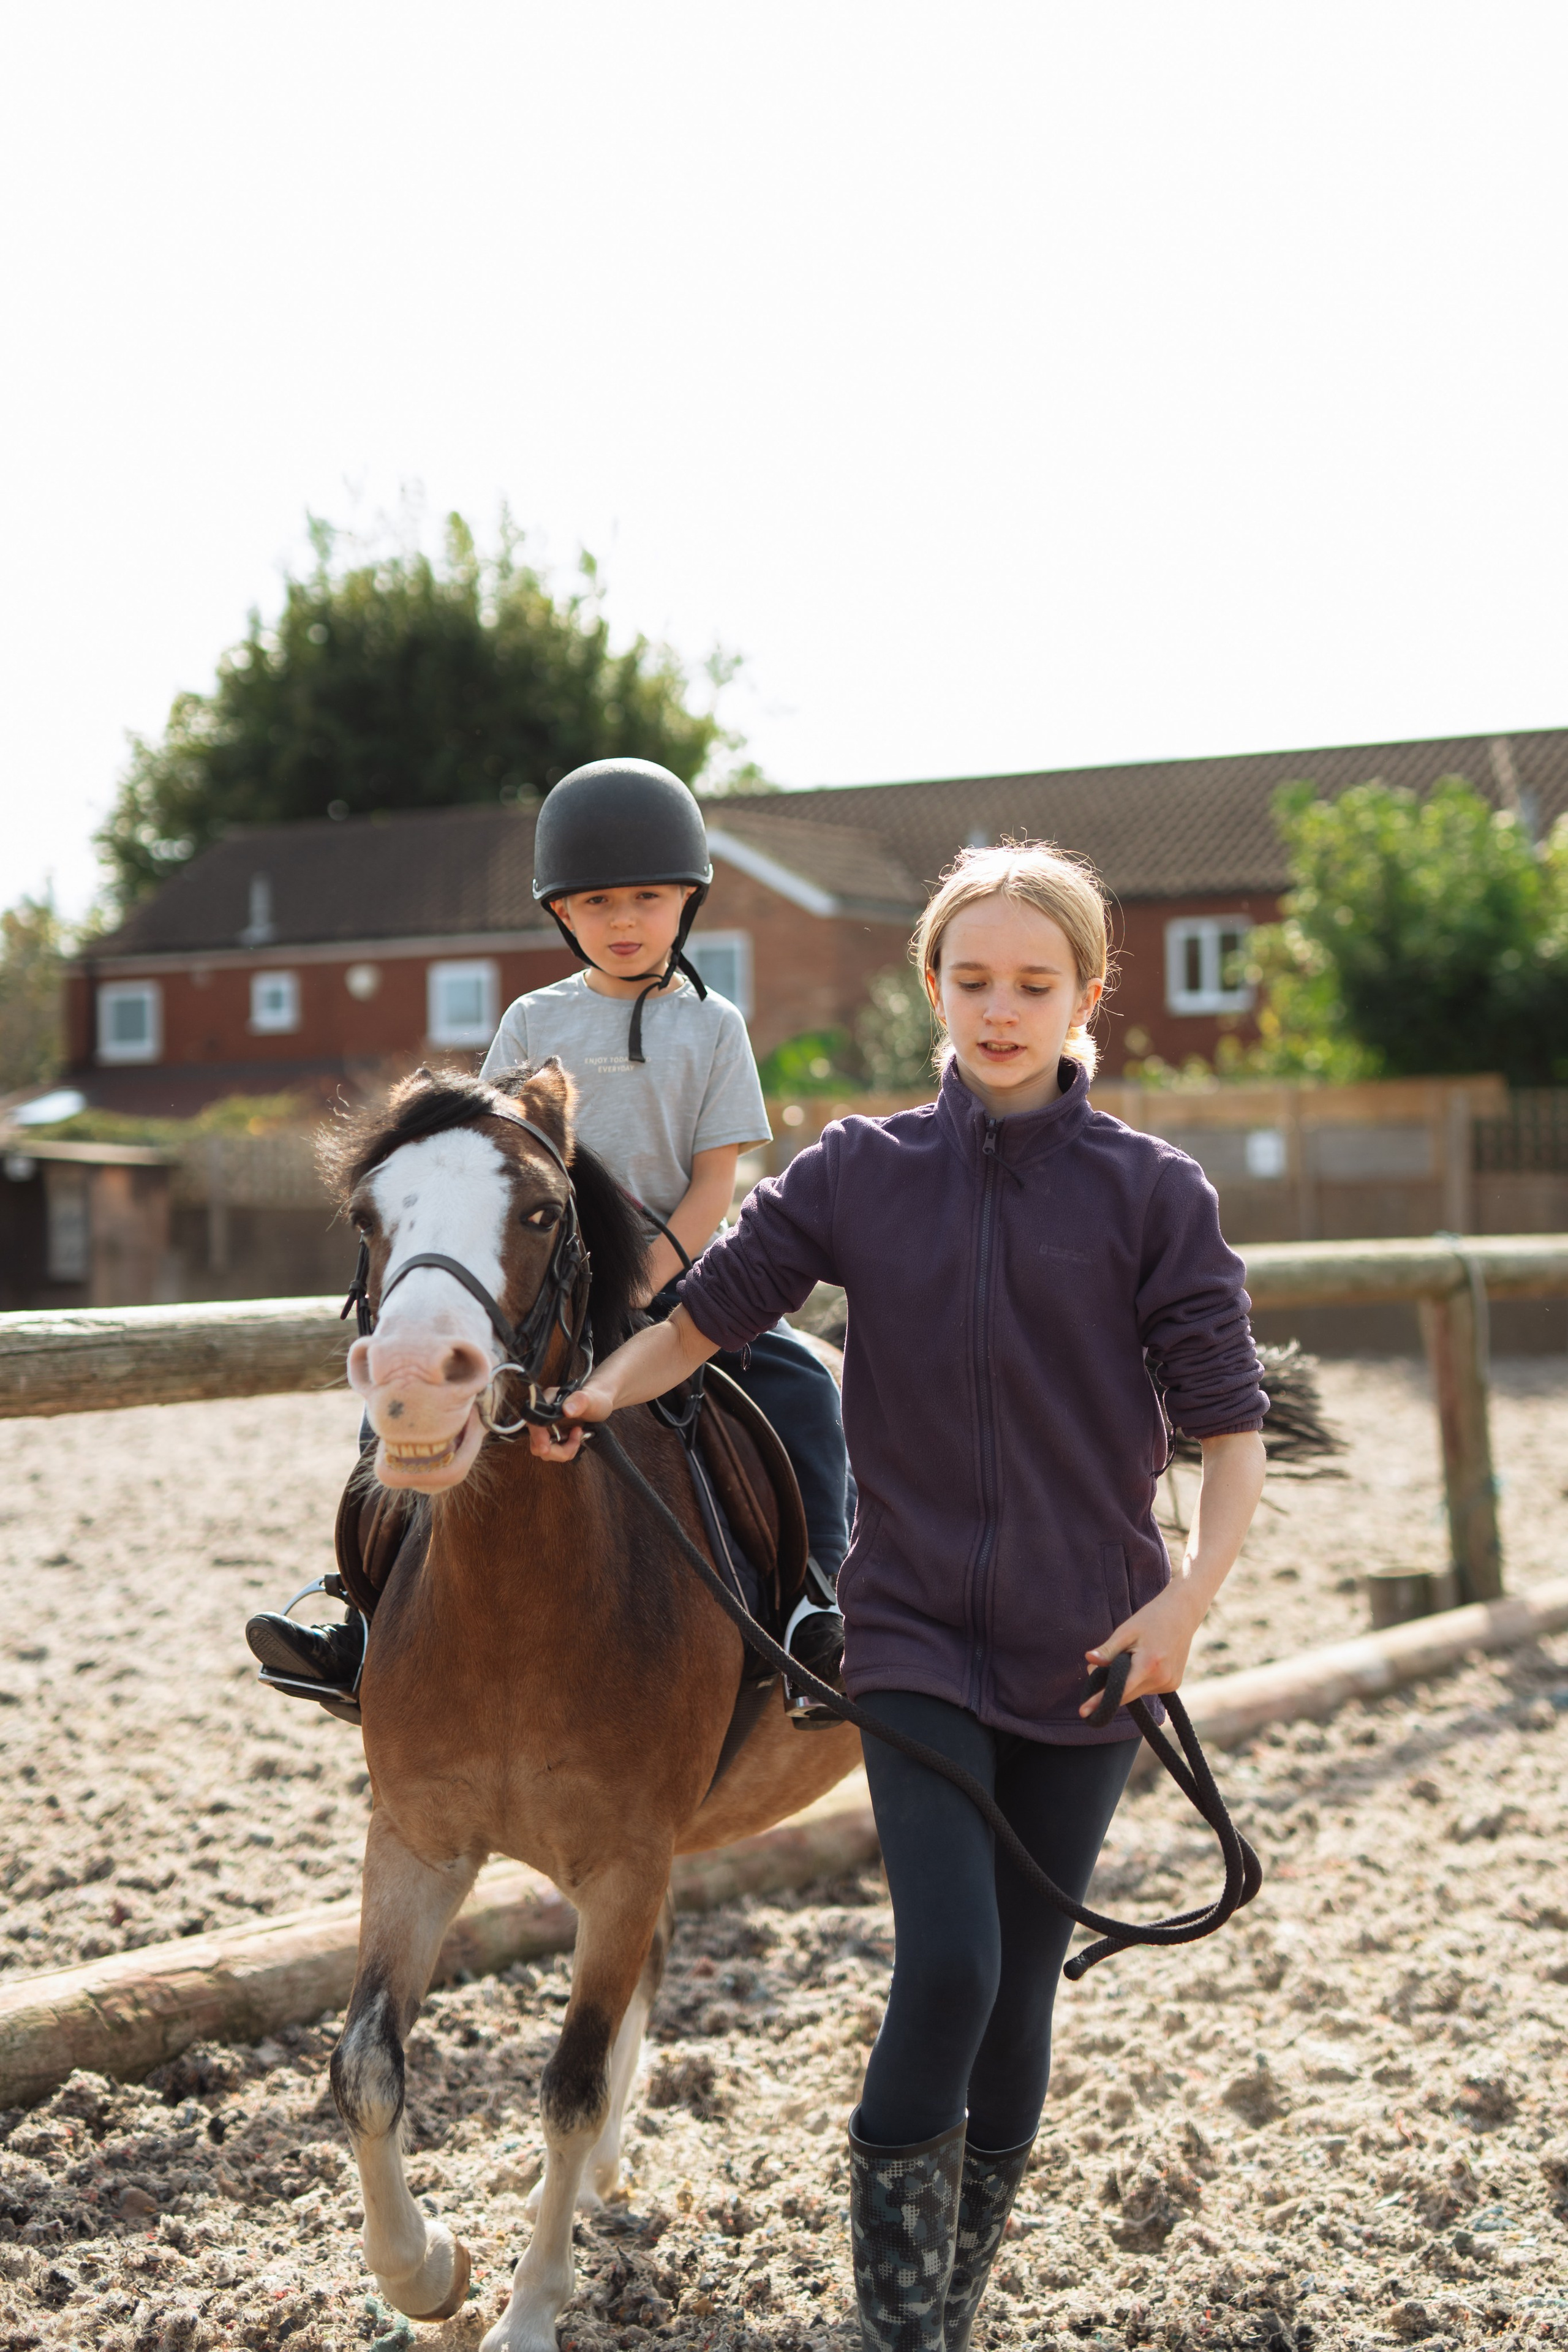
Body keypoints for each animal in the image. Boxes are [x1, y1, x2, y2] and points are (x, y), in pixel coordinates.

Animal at [322, 1059, 860, 2352]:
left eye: (536, 1213)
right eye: (369, 1216)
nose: (413, 1389)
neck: (520, 1604)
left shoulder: (624, 1860)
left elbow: (565, 2083)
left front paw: (528, 2310)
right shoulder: (415, 1844)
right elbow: (367, 2066)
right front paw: (428, 2271)